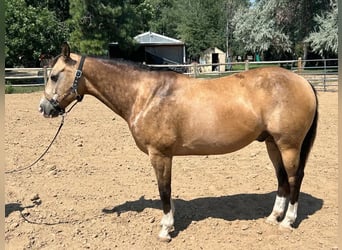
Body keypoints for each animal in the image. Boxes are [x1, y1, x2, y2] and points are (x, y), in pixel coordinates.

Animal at [40, 42, 318, 240]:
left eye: (54, 76)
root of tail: (303, 81)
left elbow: (164, 190)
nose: (44, 108)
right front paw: (171, 223)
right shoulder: (166, 156)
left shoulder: (159, 154)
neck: (147, 95)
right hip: (272, 144)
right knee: (282, 179)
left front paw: (165, 229)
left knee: (294, 178)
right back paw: (273, 217)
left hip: (289, 145)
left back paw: (288, 221)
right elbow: (168, 190)